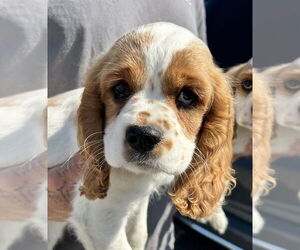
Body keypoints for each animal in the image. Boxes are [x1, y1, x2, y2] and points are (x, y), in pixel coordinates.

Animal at [48, 22, 236, 249]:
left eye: (187, 96)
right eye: (120, 88)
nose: (143, 137)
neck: (136, 175)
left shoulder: (136, 200)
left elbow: (139, 232)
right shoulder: (99, 219)